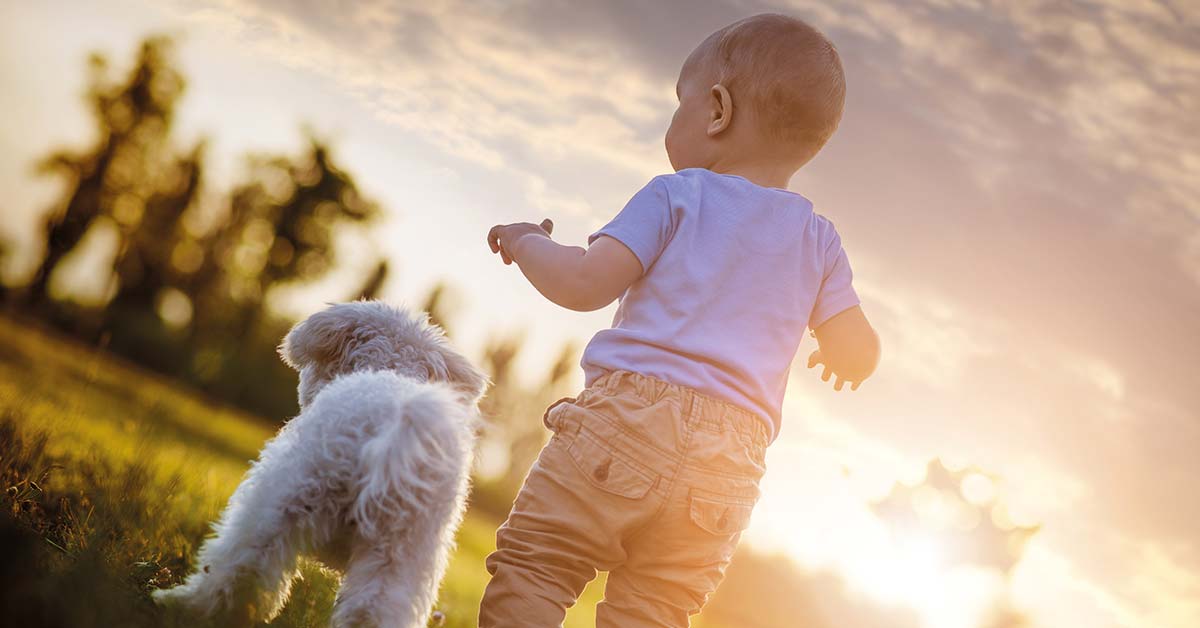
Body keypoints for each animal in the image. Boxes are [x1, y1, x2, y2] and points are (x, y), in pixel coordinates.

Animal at [154, 302, 487, 624]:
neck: (393, 369)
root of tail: (394, 421)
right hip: (402, 550)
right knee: (375, 608)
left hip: (288, 498)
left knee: (242, 565)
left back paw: (184, 604)